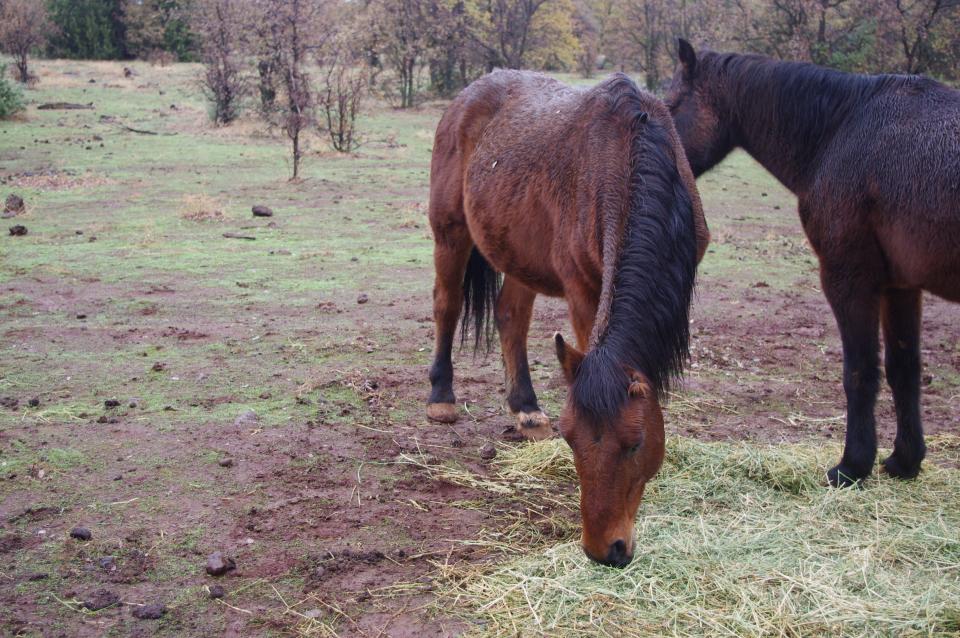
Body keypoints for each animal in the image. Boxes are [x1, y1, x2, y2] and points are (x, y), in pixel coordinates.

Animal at [424, 71, 708, 568]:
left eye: (635, 444)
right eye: (572, 442)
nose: (605, 550)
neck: (632, 154)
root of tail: (469, 94)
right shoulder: (582, 291)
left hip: (519, 252)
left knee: (511, 316)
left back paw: (526, 409)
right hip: (450, 231)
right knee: (448, 304)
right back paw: (441, 396)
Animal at [668, 40, 960, 488]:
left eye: (671, 104)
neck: (841, 129)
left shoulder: (849, 278)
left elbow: (860, 372)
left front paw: (852, 466)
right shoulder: (900, 286)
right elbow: (903, 369)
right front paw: (904, 461)